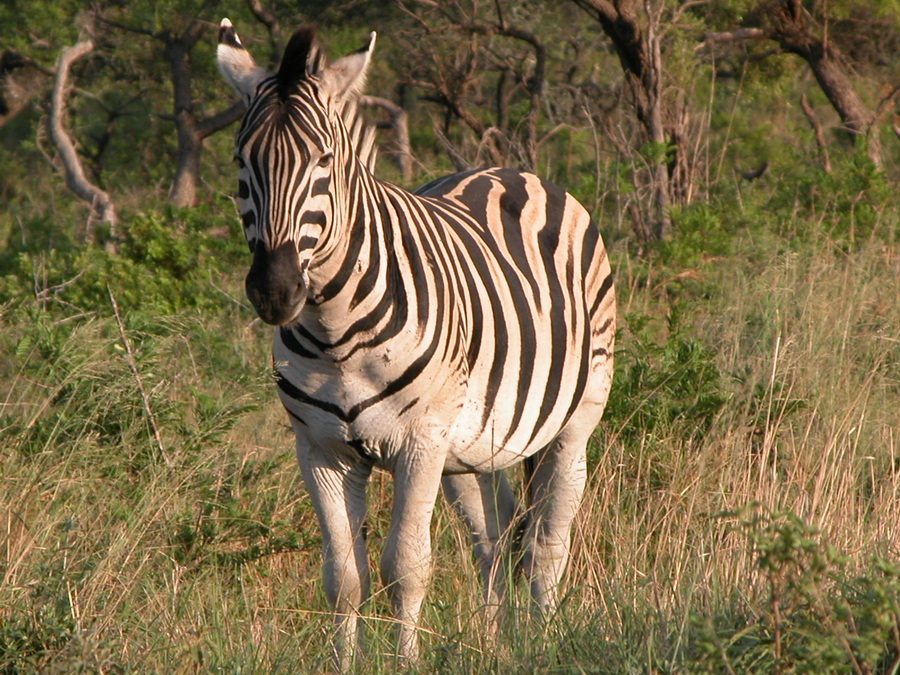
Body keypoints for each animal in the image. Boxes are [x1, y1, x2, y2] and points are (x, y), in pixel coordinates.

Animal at [216, 18, 620, 668]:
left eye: (324, 159)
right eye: (239, 160)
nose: (274, 291)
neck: (335, 335)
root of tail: (512, 171)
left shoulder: (418, 443)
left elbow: (406, 568)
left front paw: (406, 663)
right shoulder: (321, 449)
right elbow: (343, 578)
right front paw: (344, 665)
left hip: (573, 422)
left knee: (546, 544)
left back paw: (542, 641)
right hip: (471, 447)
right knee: (496, 537)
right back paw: (492, 645)